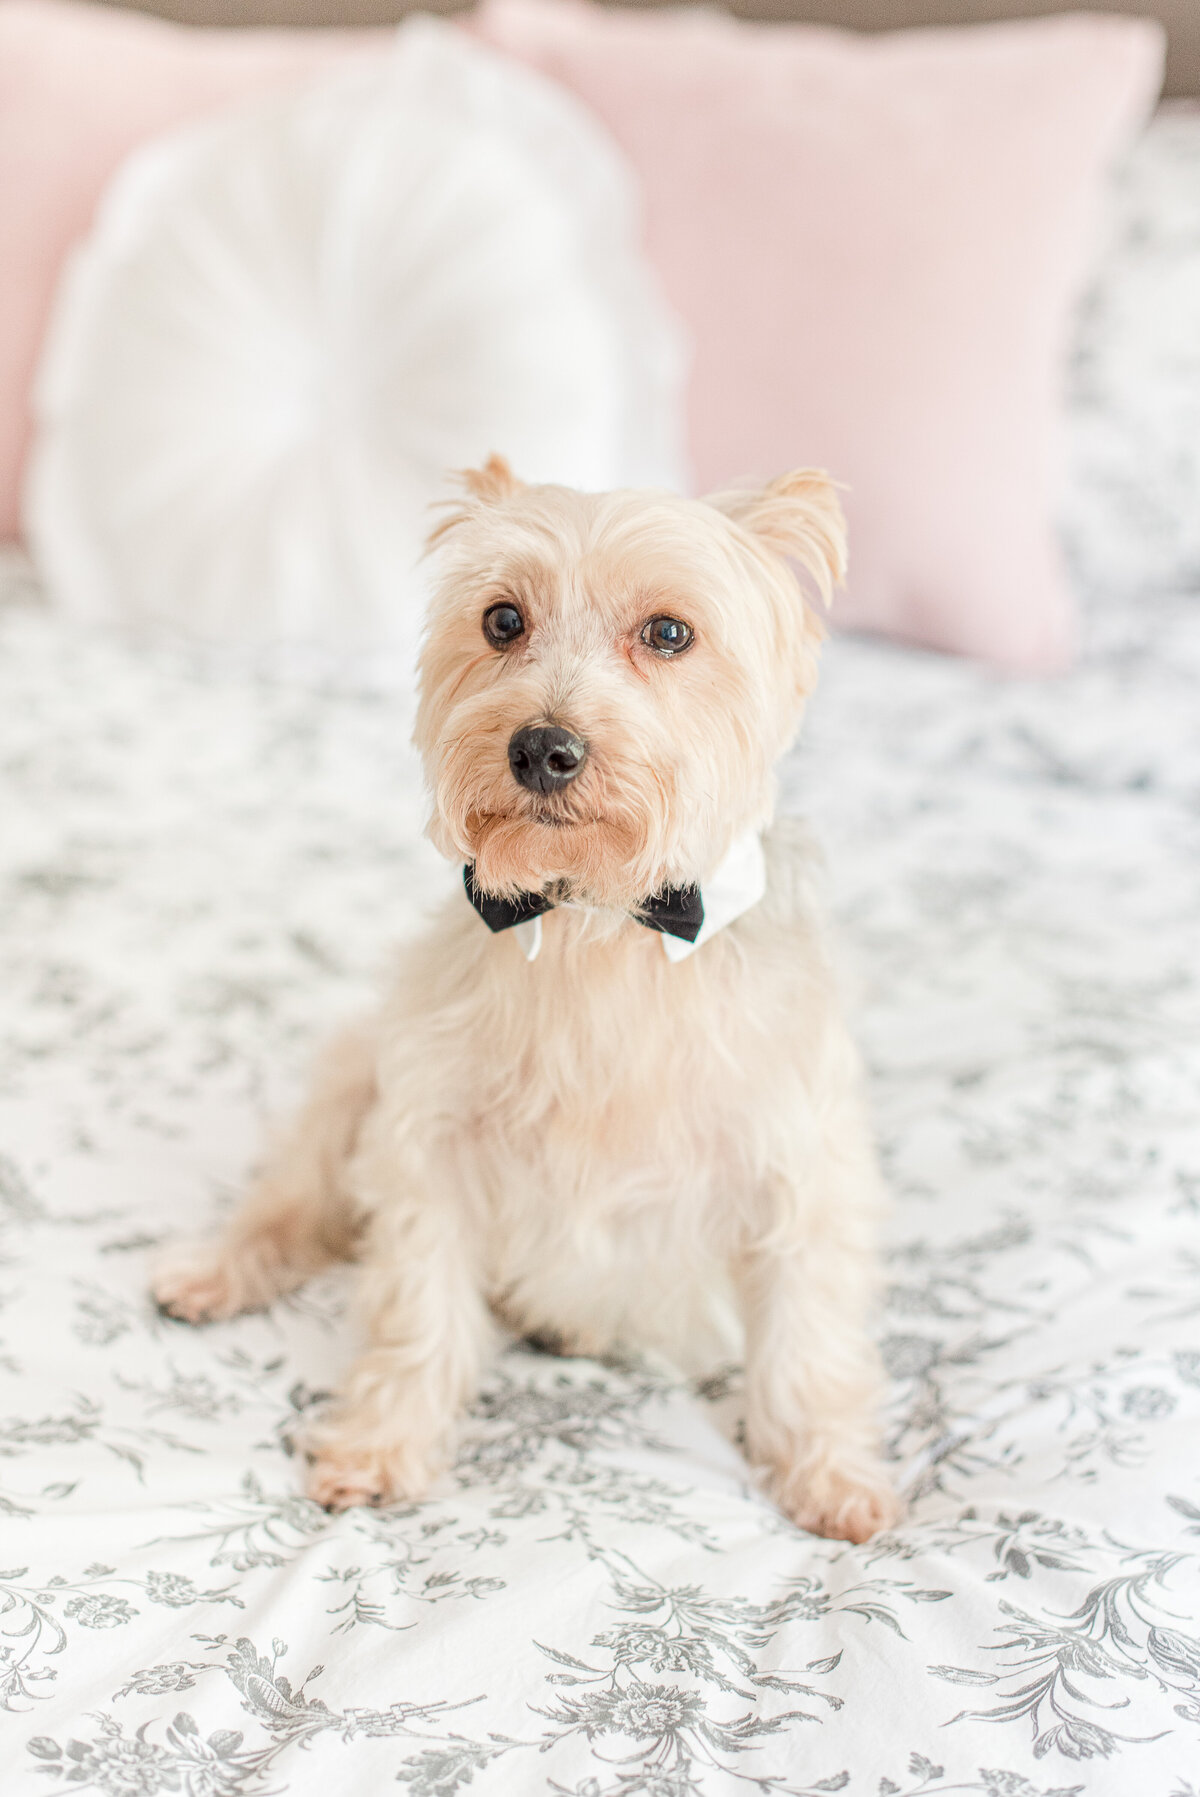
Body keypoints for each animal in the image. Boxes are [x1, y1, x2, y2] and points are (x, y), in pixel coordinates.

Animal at [152, 460, 898, 1545]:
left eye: (669, 632)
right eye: (502, 619)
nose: (543, 747)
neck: (599, 923)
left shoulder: (800, 1163)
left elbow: (809, 1338)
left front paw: (832, 1474)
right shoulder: (429, 1139)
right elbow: (417, 1307)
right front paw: (382, 1444)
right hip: (356, 1070)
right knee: (291, 1204)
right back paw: (214, 1272)